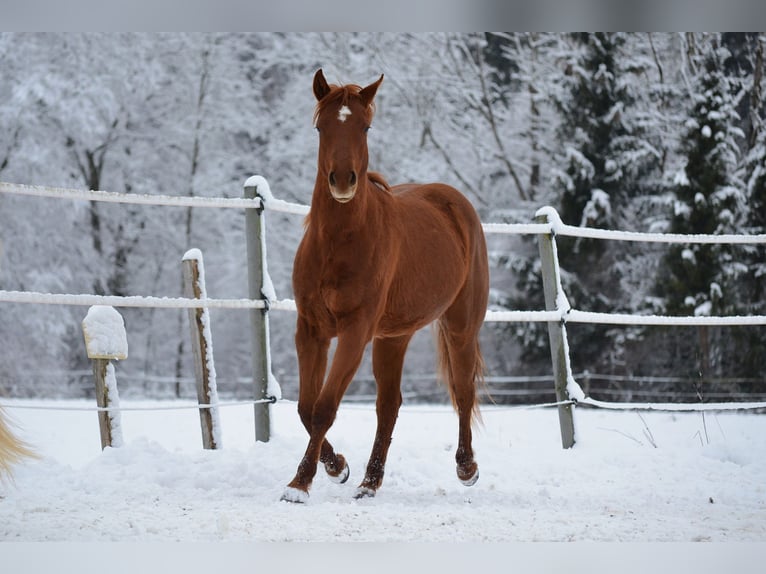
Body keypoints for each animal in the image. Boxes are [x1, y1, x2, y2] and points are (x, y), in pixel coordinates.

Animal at [284, 70, 492, 504]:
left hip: (460, 326)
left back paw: (467, 468)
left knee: (463, 391)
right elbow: (306, 407)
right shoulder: (310, 330)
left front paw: (300, 484)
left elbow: (324, 407)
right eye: (320, 127)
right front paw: (337, 468)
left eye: (365, 127)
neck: (338, 243)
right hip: (393, 337)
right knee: (389, 404)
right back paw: (369, 482)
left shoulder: (355, 330)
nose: (342, 181)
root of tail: (453, 200)